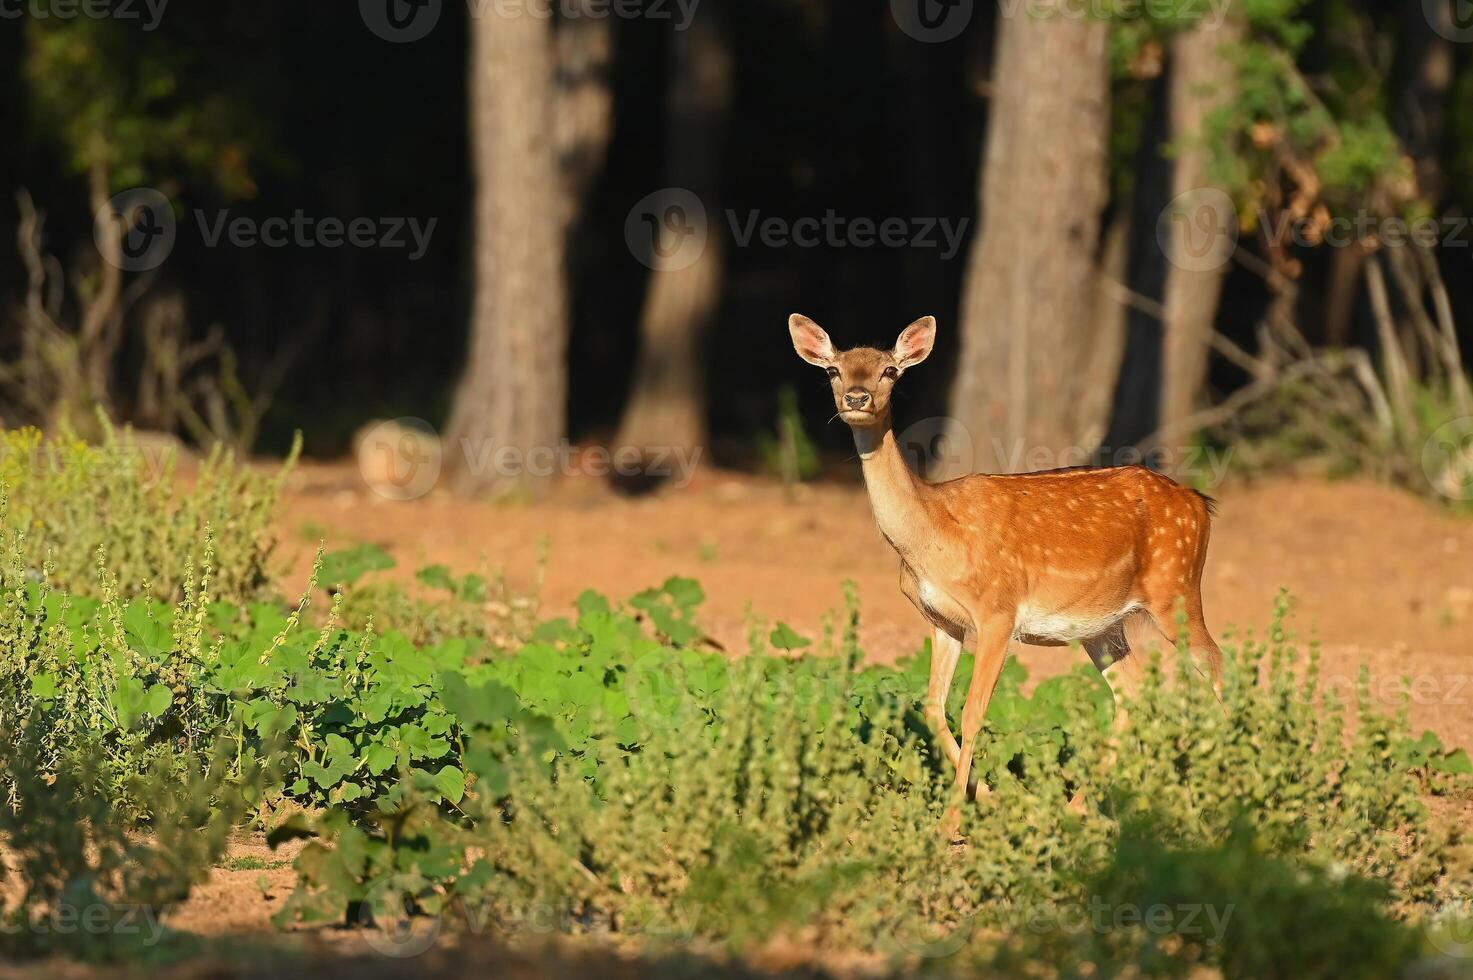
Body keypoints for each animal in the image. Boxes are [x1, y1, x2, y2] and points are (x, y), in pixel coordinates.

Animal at [789, 313, 1225, 831]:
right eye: (834, 370)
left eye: (890, 370)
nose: (857, 398)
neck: (933, 534)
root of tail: (1201, 504)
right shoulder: (942, 620)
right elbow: (933, 707)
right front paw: (993, 799)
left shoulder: (998, 611)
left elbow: (974, 711)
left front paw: (952, 822)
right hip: (1103, 626)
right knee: (1135, 694)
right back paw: (1077, 807)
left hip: (1176, 588)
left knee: (1215, 664)